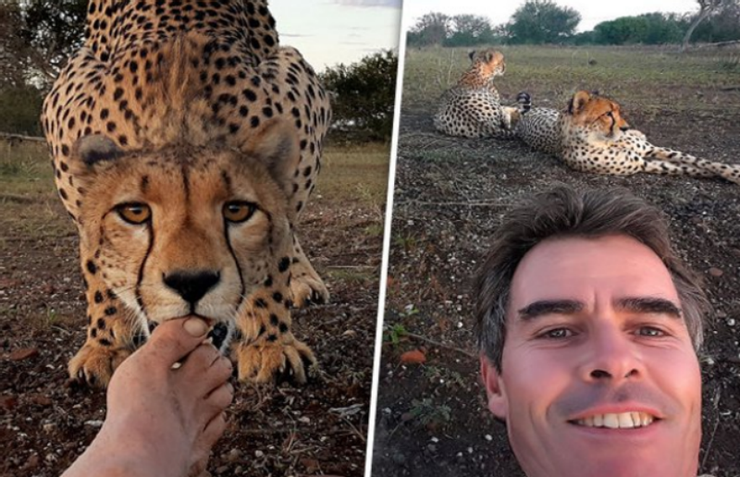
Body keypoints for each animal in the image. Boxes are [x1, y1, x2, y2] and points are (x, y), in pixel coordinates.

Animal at [40, 0, 333, 388]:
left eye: (236, 210)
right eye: (135, 213)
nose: (191, 283)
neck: (179, 117)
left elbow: (277, 250)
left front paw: (269, 341)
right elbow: (96, 264)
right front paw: (106, 345)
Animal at [515, 90, 740, 185]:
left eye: (618, 111)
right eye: (607, 114)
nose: (625, 127)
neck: (605, 141)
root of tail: (526, 116)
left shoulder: (650, 149)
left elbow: (700, 161)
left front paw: (732, 171)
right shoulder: (641, 163)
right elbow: (688, 168)